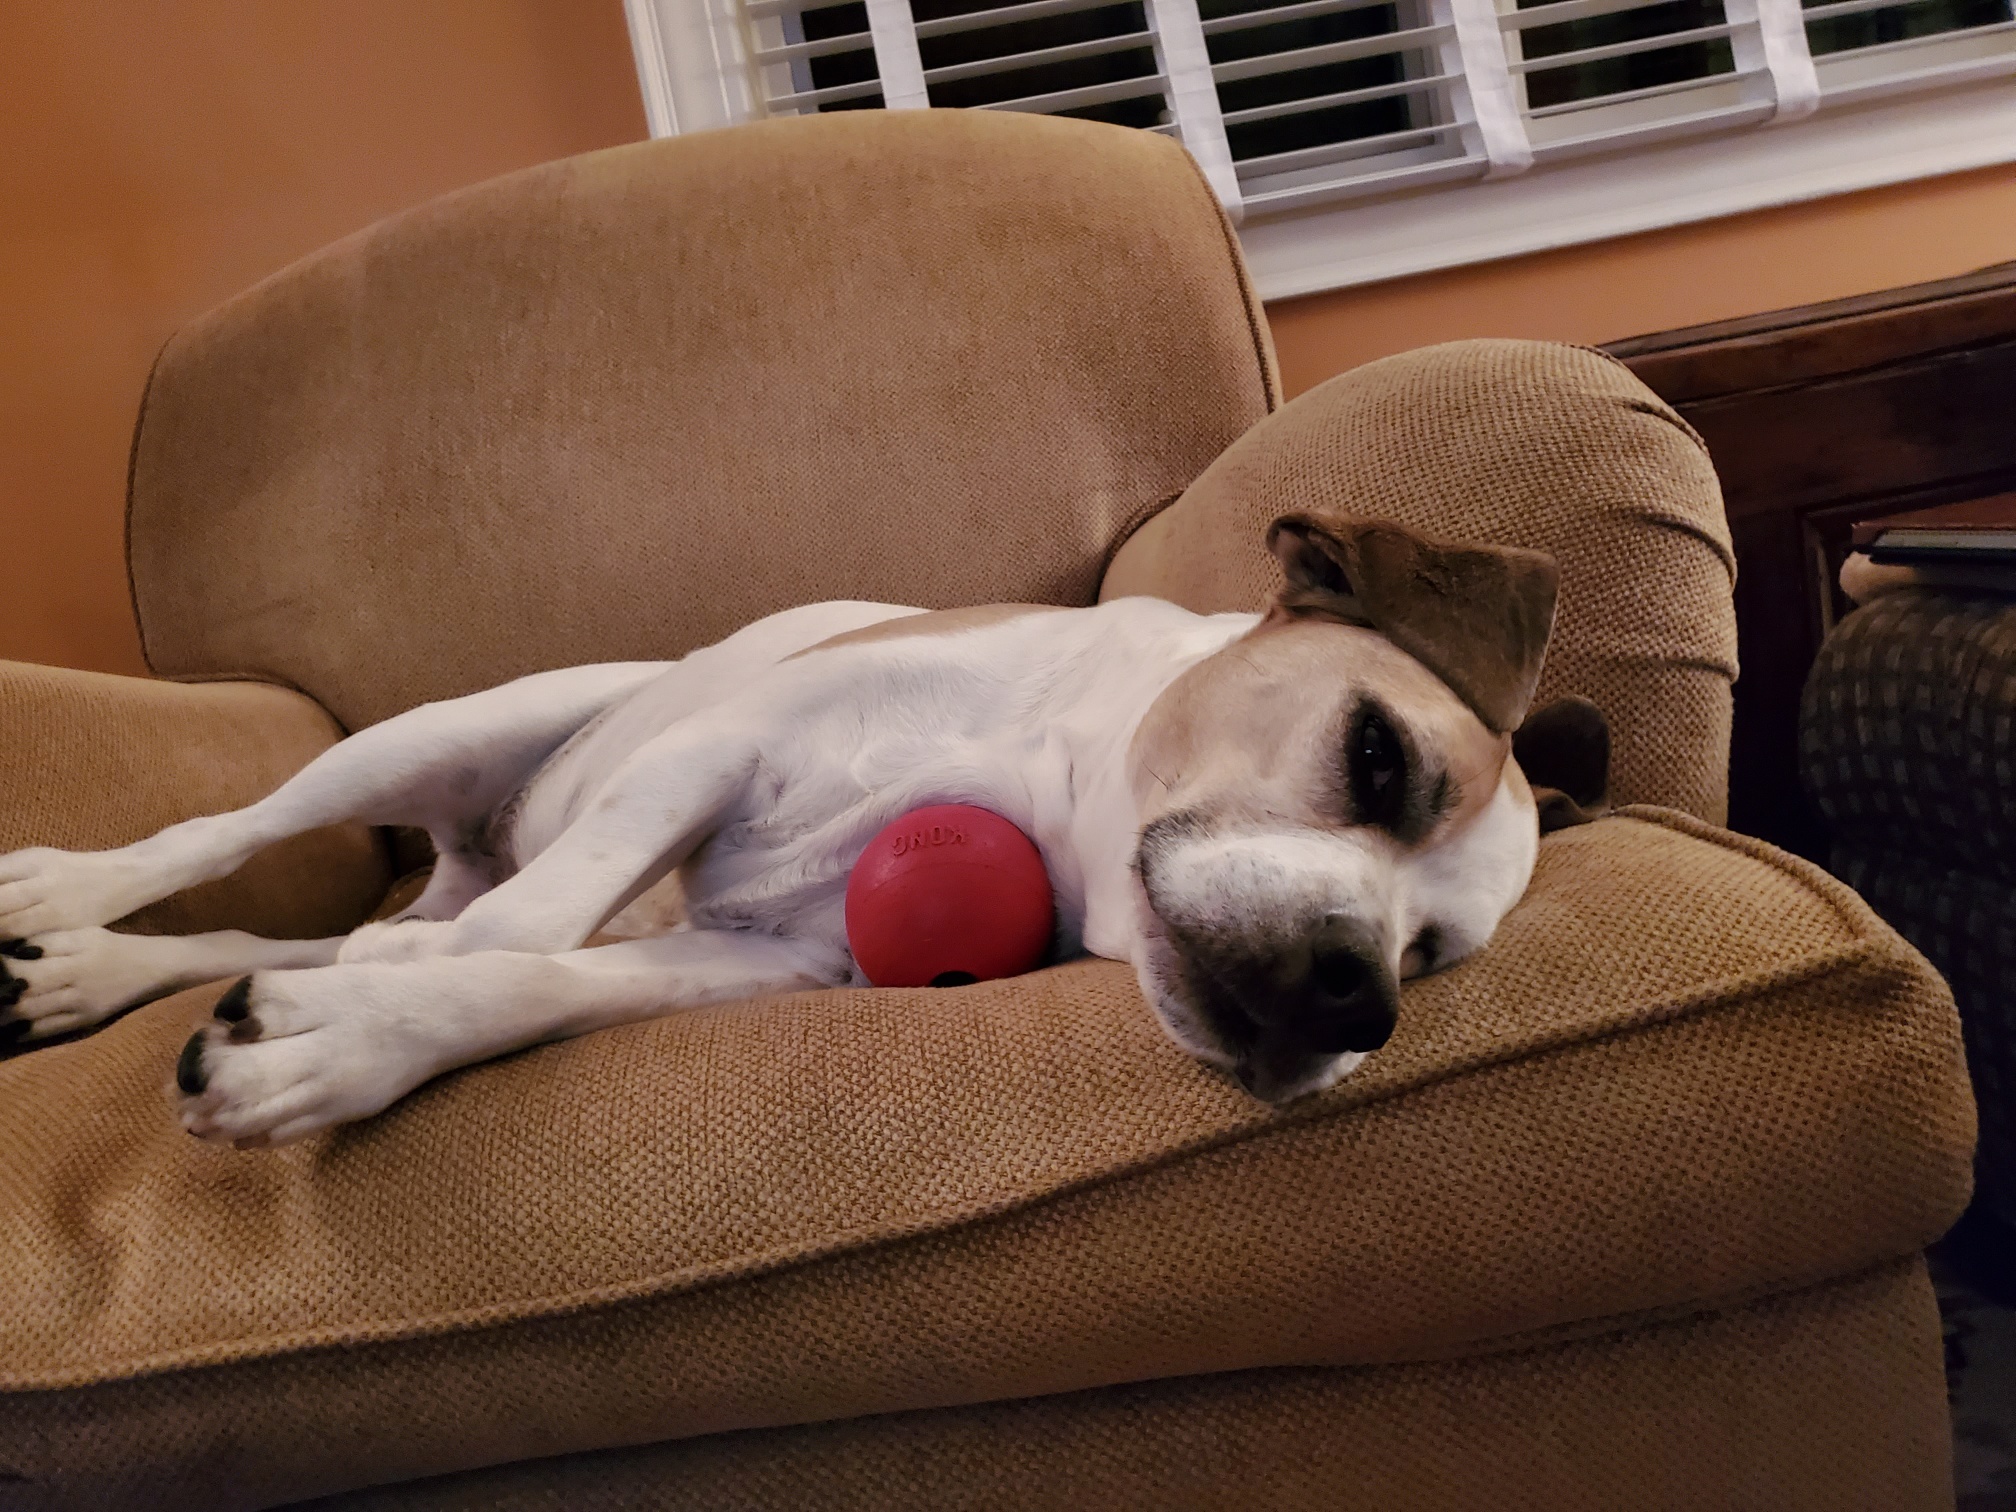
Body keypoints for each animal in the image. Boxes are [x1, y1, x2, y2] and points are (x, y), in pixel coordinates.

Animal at [0, 512, 1608, 1145]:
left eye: (1433, 955)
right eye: (1377, 758)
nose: (1356, 994)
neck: (1044, 793)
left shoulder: (772, 964)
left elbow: (527, 977)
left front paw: (361, 1037)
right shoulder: (722, 749)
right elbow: (537, 920)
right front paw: (381, 999)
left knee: (309, 929)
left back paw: (104, 971)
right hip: (455, 729)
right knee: (225, 840)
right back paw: (64, 897)